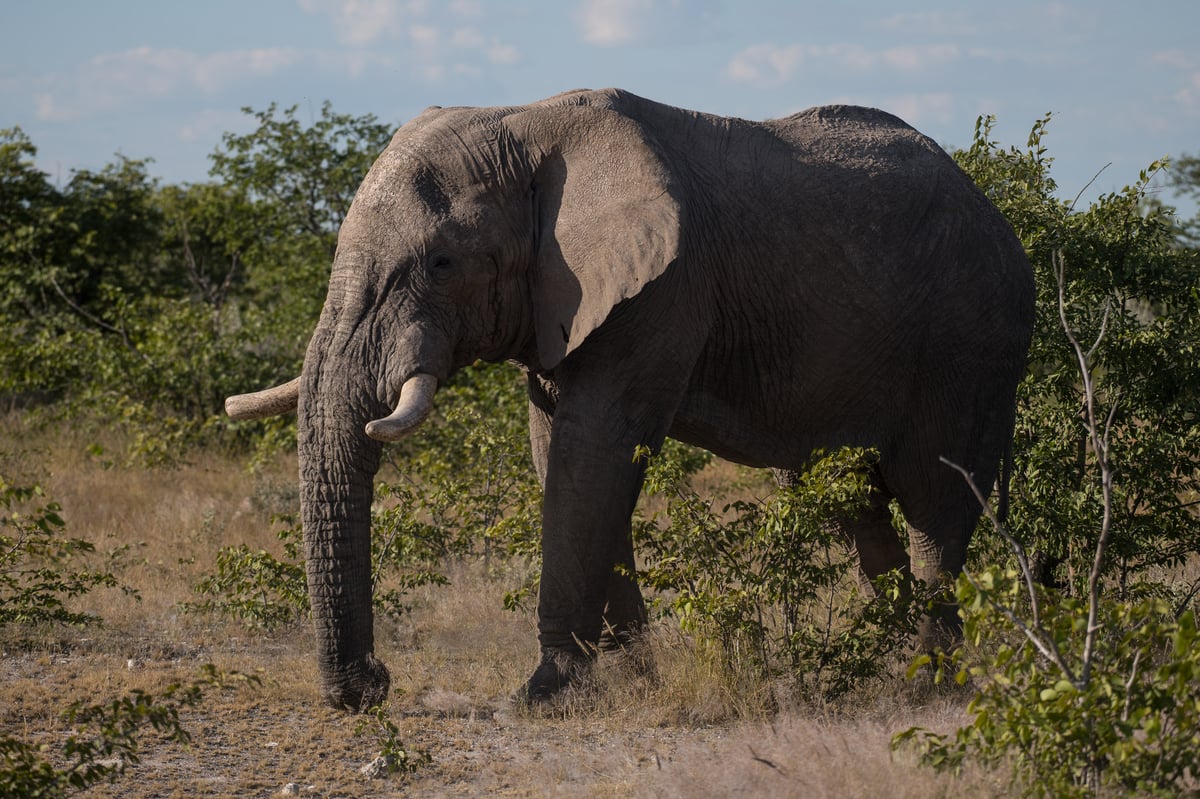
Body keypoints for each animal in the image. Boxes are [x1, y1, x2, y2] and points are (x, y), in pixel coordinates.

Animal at [229, 88, 1036, 710]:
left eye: (442, 262)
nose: (373, 685)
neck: (525, 121)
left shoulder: (662, 292)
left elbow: (594, 451)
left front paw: (541, 695)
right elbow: (558, 453)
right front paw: (635, 679)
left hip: (973, 342)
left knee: (935, 503)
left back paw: (927, 685)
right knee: (850, 500)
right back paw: (896, 661)